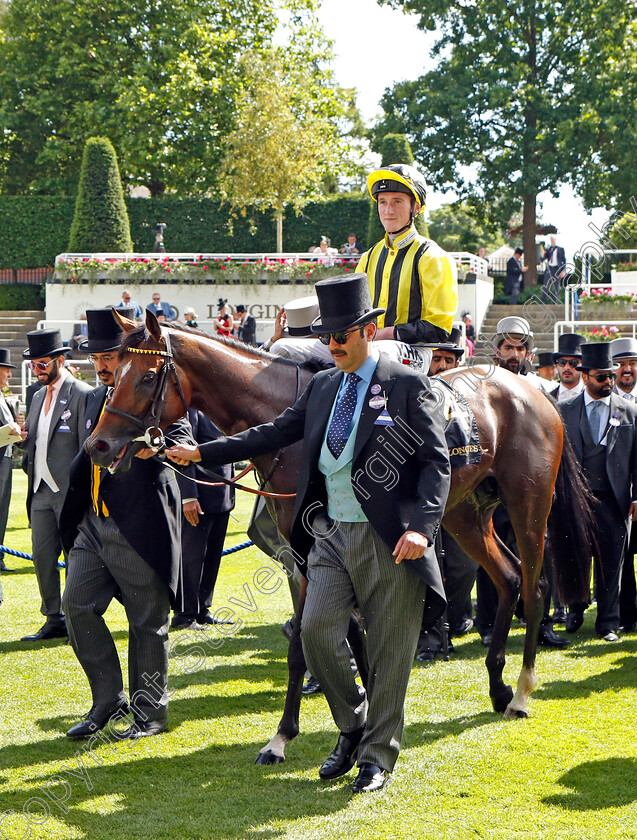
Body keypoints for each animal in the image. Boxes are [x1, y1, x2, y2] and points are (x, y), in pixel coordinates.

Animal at [85, 312, 596, 764]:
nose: (98, 445)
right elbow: (336, 630)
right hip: (464, 514)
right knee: (508, 577)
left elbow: (310, 640)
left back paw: (523, 691)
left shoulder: (314, 551)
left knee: (535, 585)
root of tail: (532, 390)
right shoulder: (302, 555)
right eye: (114, 372)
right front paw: (354, 710)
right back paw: (499, 686)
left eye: (149, 376)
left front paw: (287, 735)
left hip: (529, 505)